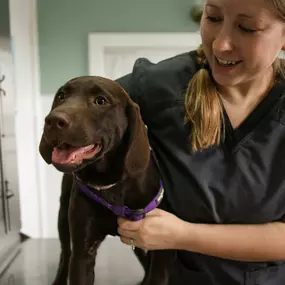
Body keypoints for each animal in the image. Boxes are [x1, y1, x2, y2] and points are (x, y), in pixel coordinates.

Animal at [37, 75, 175, 284]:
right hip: (63, 218)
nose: (53, 120)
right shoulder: (83, 252)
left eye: (101, 101)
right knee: (65, 253)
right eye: (61, 96)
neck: (111, 184)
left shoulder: (158, 246)